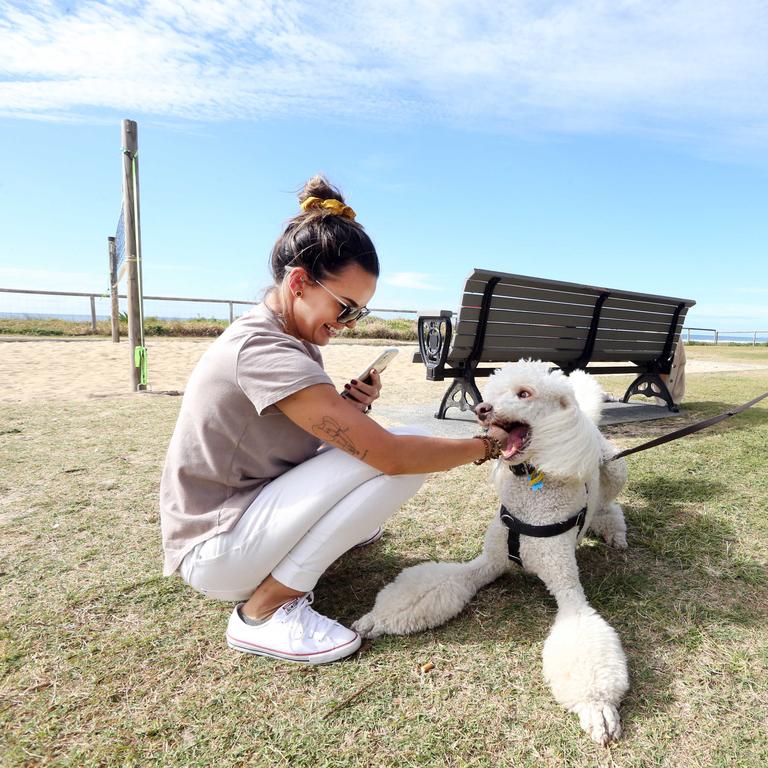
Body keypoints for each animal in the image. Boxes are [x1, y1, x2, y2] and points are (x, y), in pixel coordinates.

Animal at [354, 364, 632, 748]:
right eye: (493, 392)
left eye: (524, 393)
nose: (482, 409)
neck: (532, 486)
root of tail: (589, 424)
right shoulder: (489, 562)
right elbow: (439, 584)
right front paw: (378, 618)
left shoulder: (566, 585)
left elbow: (580, 628)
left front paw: (596, 707)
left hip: (614, 468)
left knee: (608, 504)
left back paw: (614, 533)